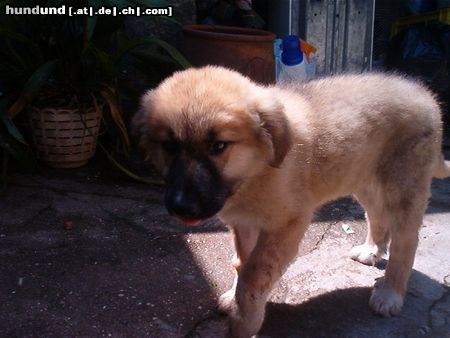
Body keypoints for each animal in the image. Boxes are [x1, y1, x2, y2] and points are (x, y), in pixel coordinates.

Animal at [131, 64, 450, 336]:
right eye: (169, 146)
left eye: (218, 146)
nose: (181, 206)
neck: (255, 172)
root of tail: (425, 95)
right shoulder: (245, 225)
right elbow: (242, 263)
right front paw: (236, 299)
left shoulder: (287, 223)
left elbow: (254, 274)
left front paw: (244, 322)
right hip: (364, 180)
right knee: (377, 215)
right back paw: (371, 250)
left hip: (404, 188)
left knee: (406, 241)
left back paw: (390, 293)